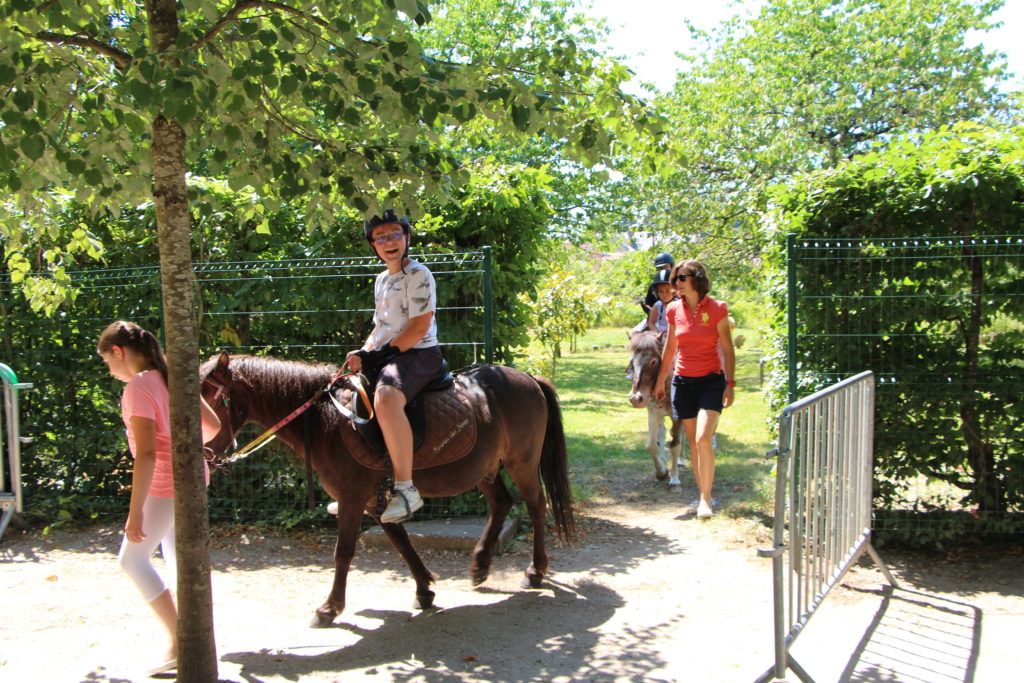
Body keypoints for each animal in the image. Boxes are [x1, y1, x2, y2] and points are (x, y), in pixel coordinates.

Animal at [199, 351, 576, 627]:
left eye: (208, 402)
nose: (202, 455)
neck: (326, 421)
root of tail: (528, 377)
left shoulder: (352, 499)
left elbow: (343, 553)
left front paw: (329, 608)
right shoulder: (373, 501)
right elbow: (401, 542)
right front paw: (424, 589)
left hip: (521, 462)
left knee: (535, 506)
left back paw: (535, 570)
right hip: (483, 468)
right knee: (502, 503)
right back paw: (480, 564)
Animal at [627, 331, 683, 489]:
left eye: (653, 362)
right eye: (632, 362)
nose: (636, 398)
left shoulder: (677, 417)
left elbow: (675, 444)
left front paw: (674, 479)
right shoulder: (654, 414)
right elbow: (651, 445)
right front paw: (662, 473)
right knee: (662, 434)